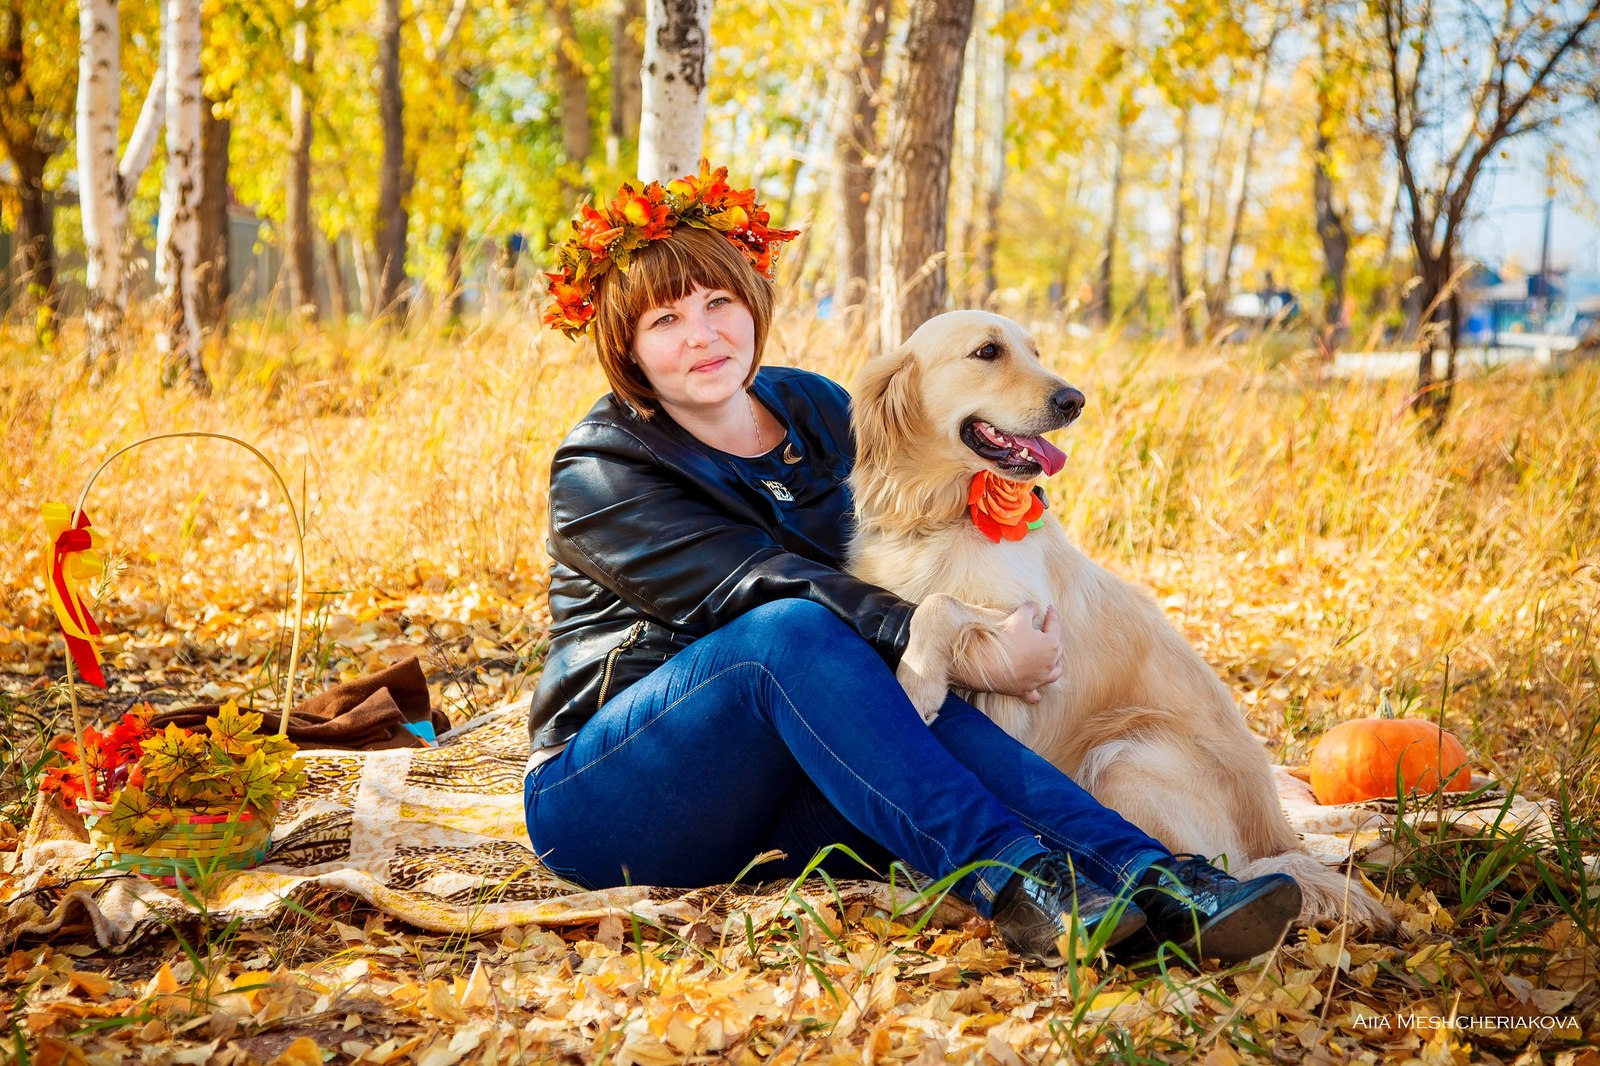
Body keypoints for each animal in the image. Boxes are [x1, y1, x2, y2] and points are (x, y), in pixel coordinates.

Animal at [857, 308, 1395, 928]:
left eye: (1035, 351)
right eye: (987, 352)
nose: (1074, 399)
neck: (938, 515)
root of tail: (1278, 832)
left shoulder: (1027, 632)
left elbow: (939, 605)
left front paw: (916, 681)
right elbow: (931, 604)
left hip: (1123, 756)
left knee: (1217, 865)